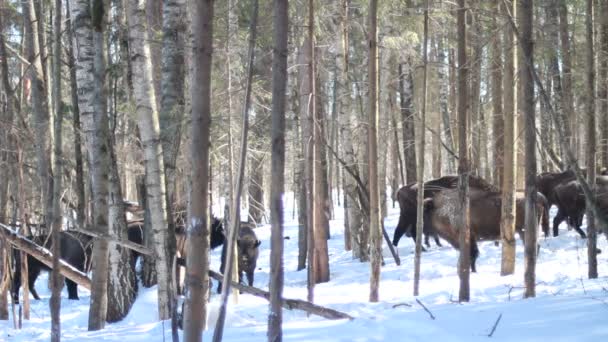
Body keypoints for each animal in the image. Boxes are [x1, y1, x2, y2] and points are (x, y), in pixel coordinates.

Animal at [420, 186, 548, 272]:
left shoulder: (466, 238)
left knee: (534, 246)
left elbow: (472, 255)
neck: (439, 209)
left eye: (423, 213)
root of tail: (540, 196)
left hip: (524, 230)